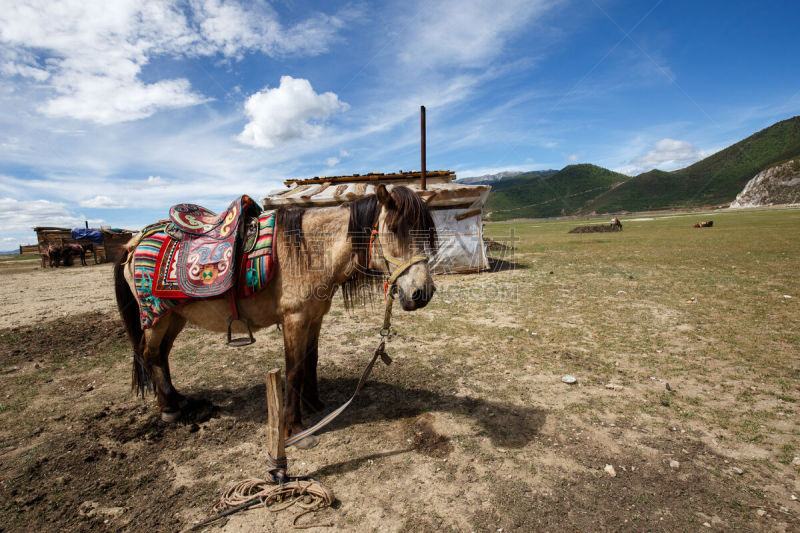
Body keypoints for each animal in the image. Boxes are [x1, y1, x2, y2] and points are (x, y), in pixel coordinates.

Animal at [114, 183, 438, 440]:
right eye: (393, 229)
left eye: (425, 232)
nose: (422, 293)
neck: (310, 252)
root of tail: (135, 241)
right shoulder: (295, 319)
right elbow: (293, 369)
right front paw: (295, 427)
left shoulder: (314, 318)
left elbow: (311, 361)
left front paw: (314, 406)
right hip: (156, 319)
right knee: (149, 354)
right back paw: (169, 408)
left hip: (174, 317)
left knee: (161, 355)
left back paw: (178, 400)